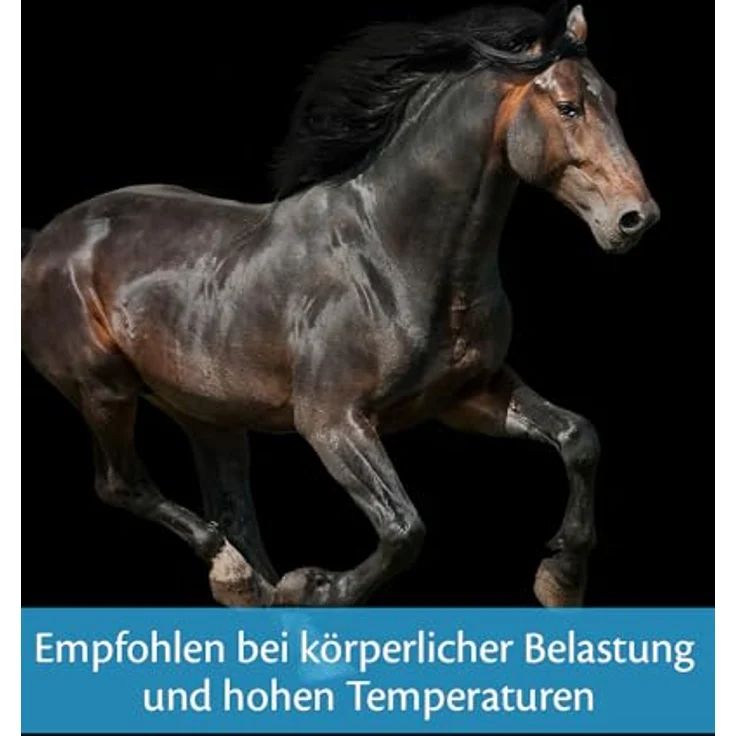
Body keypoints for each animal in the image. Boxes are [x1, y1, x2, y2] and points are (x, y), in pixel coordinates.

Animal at [21, 2, 659, 608]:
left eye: (613, 98)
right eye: (570, 107)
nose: (635, 218)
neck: (391, 255)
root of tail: (45, 239)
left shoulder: (469, 395)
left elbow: (578, 438)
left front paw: (561, 580)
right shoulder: (331, 420)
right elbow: (404, 529)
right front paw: (316, 587)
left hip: (208, 415)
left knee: (230, 511)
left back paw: (250, 585)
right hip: (104, 390)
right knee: (123, 485)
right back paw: (235, 572)